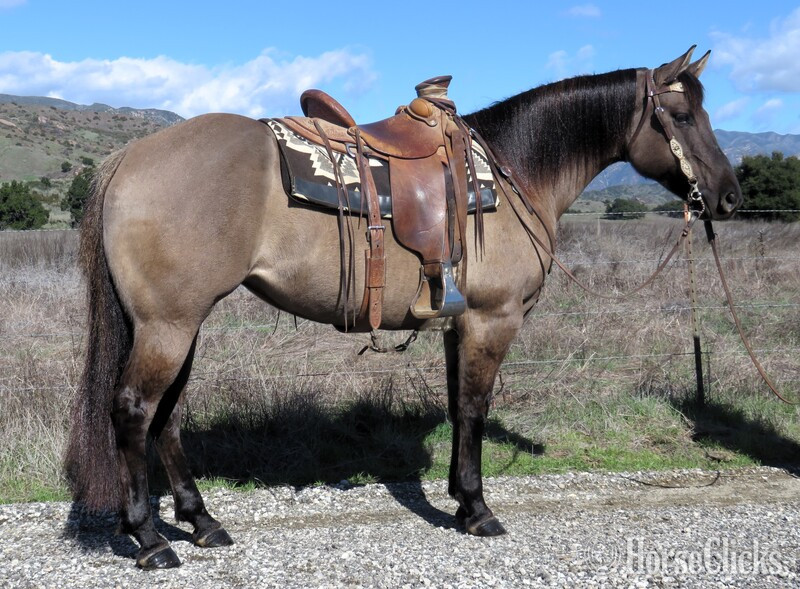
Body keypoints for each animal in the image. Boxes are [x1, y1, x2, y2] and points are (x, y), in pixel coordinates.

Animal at [65, 47, 741, 569]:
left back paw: (202, 522)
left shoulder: (457, 324)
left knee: (168, 416)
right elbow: (474, 408)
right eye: (683, 115)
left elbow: (459, 405)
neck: (516, 171)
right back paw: (150, 539)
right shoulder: (493, 320)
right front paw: (478, 509)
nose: (730, 197)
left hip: (180, 323)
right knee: (135, 411)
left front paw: (460, 499)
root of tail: (129, 157)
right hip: (168, 325)